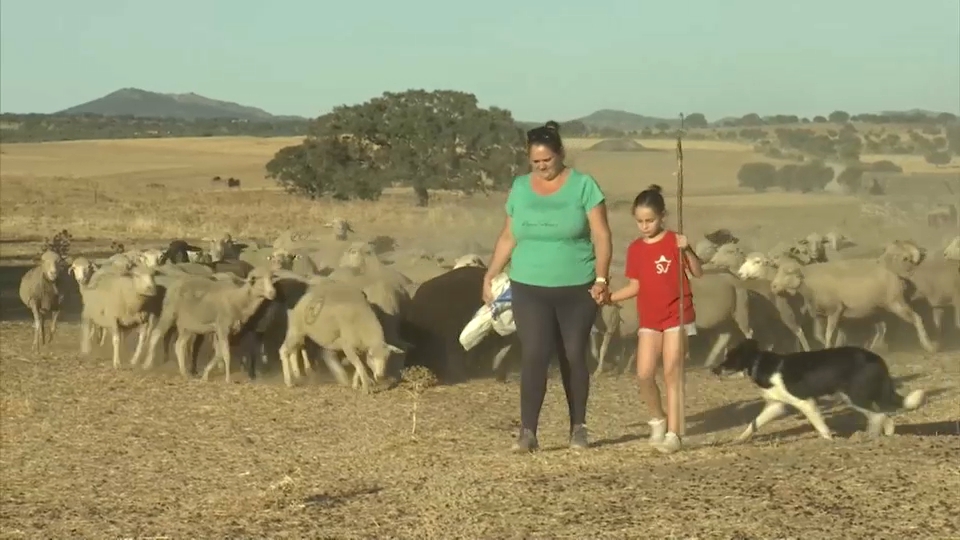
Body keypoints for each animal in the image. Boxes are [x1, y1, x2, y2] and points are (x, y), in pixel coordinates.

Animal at [142, 266, 278, 380]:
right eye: (258, 279)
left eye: (271, 279)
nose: (272, 293)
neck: (237, 300)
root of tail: (174, 284)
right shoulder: (223, 327)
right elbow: (225, 352)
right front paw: (227, 379)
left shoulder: (221, 330)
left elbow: (219, 353)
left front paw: (205, 375)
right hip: (169, 313)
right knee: (156, 334)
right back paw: (147, 364)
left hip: (188, 326)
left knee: (179, 344)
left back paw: (184, 372)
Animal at [276, 278, 404, 392]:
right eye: (372, 356)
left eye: (387, 358)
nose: (381, 377)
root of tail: (303, 298)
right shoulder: (348, 346)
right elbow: (360, 366)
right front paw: (365, 388)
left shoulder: (360, 349)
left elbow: (359, 366)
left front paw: (355, 385)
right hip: (296, 330)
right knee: (284, 350)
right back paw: (289, 382)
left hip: (303, 335)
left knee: (295, 350)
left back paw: (298, 375)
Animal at [712, 340, 924, 440]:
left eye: (728, 360)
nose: (713, 370)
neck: (758, 363)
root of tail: (878, 359)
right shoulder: (777, 405)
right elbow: (754, 423)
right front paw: (740, 439)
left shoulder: (805, 402)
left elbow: (820, 426)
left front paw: (829, 439)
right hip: (853, 397)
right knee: (883, 416)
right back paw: (885, 435)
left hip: (854, 396)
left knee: (879, 415)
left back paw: (870, 437)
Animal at [768, 258, 940, 354]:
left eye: (788, 272)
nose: (773, 286)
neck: (808, 283)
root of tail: (897, 275)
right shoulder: (820, 315)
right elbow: (819, 335)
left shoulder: (835, 310)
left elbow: (829, 333)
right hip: (878, 308)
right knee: (882, 328)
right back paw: (876, 348)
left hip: (896, 303)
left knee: (916, 318)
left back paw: (929, 346)